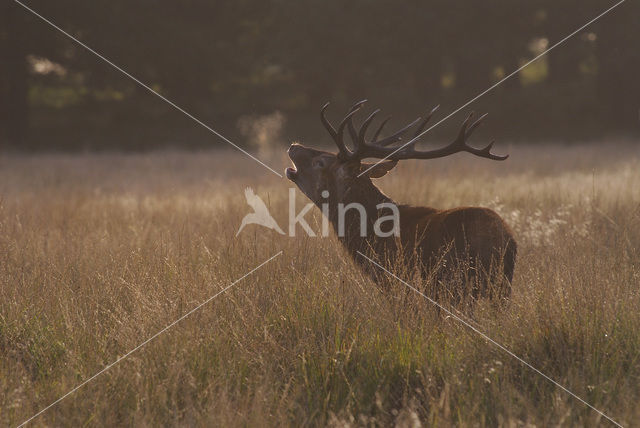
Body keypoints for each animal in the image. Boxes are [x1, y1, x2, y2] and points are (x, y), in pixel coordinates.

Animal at [288, 101, 516, 304]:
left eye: (321, 162)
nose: (293, 146)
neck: (368, 236)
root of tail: (506, 240)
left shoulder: (395, 279)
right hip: (500, 289)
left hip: (456, 281)